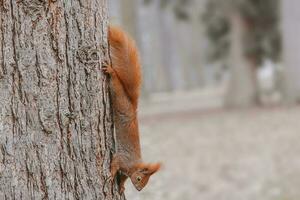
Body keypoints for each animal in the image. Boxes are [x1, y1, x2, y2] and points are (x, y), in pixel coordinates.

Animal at [102, 26, 161, 194]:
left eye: (146, 183)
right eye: (140, 179)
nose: (140, 190)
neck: (134, 166)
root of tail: (132, 105)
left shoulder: (125, 171)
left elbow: (122, 178)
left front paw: (121, 186)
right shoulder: (122, 159)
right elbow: (115, 163)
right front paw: (110, 175)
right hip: (118, 96)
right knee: (115, 81)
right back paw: (111, 71)